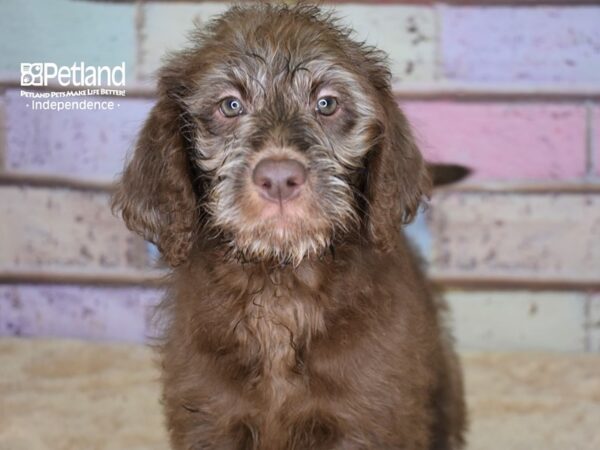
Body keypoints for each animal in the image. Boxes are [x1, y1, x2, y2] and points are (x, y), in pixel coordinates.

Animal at [113, 4, 468, 450]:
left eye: (326, 103)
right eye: (231, 105)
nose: (279, 178)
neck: (281, 287)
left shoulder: (368, 417)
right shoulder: (209, 415)